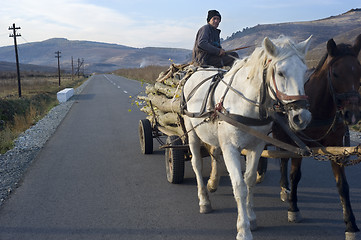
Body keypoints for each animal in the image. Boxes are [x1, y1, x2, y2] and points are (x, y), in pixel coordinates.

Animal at [183, 35, 312, 240]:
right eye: (281, 73)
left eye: (304, 71)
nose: (302, 117)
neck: (244, 103)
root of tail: (196, 71)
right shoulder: (231, 148)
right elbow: (239, 186)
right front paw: (243, 229)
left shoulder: (256, 146)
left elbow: (250, 180)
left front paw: (251, 218)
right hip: (191, 132)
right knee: (197, 164)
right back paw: (204, 200)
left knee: (214, 154)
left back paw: (212, 183)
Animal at [272, 34, 360, 240]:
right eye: (335, 74)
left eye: (359, 72)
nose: (352, 115)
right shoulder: (300, 145)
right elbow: (295, 175)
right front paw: (294, 209)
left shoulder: (336, 147)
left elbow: (342, 186)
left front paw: (350, 224)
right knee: (281, 160)